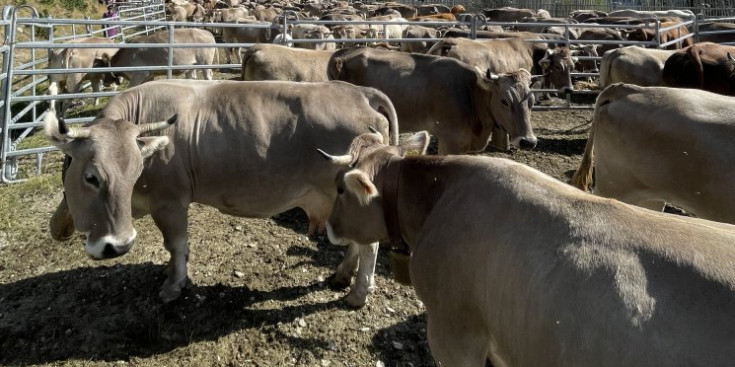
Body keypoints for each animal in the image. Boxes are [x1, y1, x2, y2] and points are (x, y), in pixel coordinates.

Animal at [43, 80, 400, 308]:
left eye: (135, 173)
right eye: (91, 177)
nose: (118, 246)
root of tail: (358, 91)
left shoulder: (170, 202)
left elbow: (176, 244)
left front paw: (173, 285)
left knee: (369, 246)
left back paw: (357, 294)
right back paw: (342, 275)